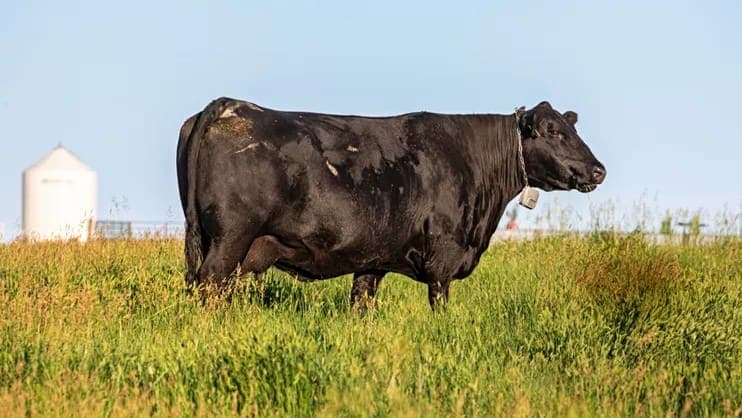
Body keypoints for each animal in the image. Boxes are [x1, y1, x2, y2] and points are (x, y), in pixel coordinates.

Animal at [177, 98, 605, 309]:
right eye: (552, 131)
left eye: (572, 128)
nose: (598, 170)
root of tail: (228, 104)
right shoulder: (443, 259)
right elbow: (440, 308)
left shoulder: (374, 260)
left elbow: (361, 306)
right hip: (230, 239)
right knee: (208, 286)